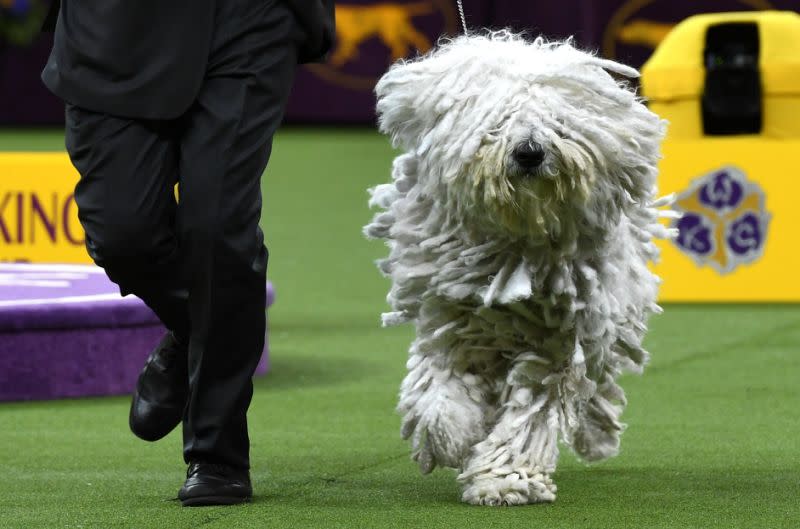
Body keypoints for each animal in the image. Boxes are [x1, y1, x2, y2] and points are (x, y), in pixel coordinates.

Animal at [366, 31, 680, 506]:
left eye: (558, 121)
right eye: (497, 121)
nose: (529, 152)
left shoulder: (557, 341)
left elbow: (533, 409)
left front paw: (504, 478)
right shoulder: (453, 319)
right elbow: (440, 387)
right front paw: (450, 436)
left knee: (597, 383)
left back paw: (597, 436)